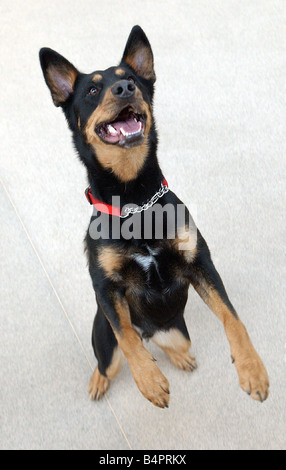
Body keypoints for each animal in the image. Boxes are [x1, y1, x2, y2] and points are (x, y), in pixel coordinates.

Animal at [39, 25, 270, 408]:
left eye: (131, 78)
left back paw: (180, 357)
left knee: (165, 344)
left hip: (177, 331)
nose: (124, 88)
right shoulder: (106, 288)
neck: (136, 201)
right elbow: (127, 337)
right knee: (113, 358)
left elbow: (233, 319)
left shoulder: (200, 263)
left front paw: (252, 369)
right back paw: (101, 380)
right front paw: (149, 381)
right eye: (92, 90)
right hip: (104, 339)